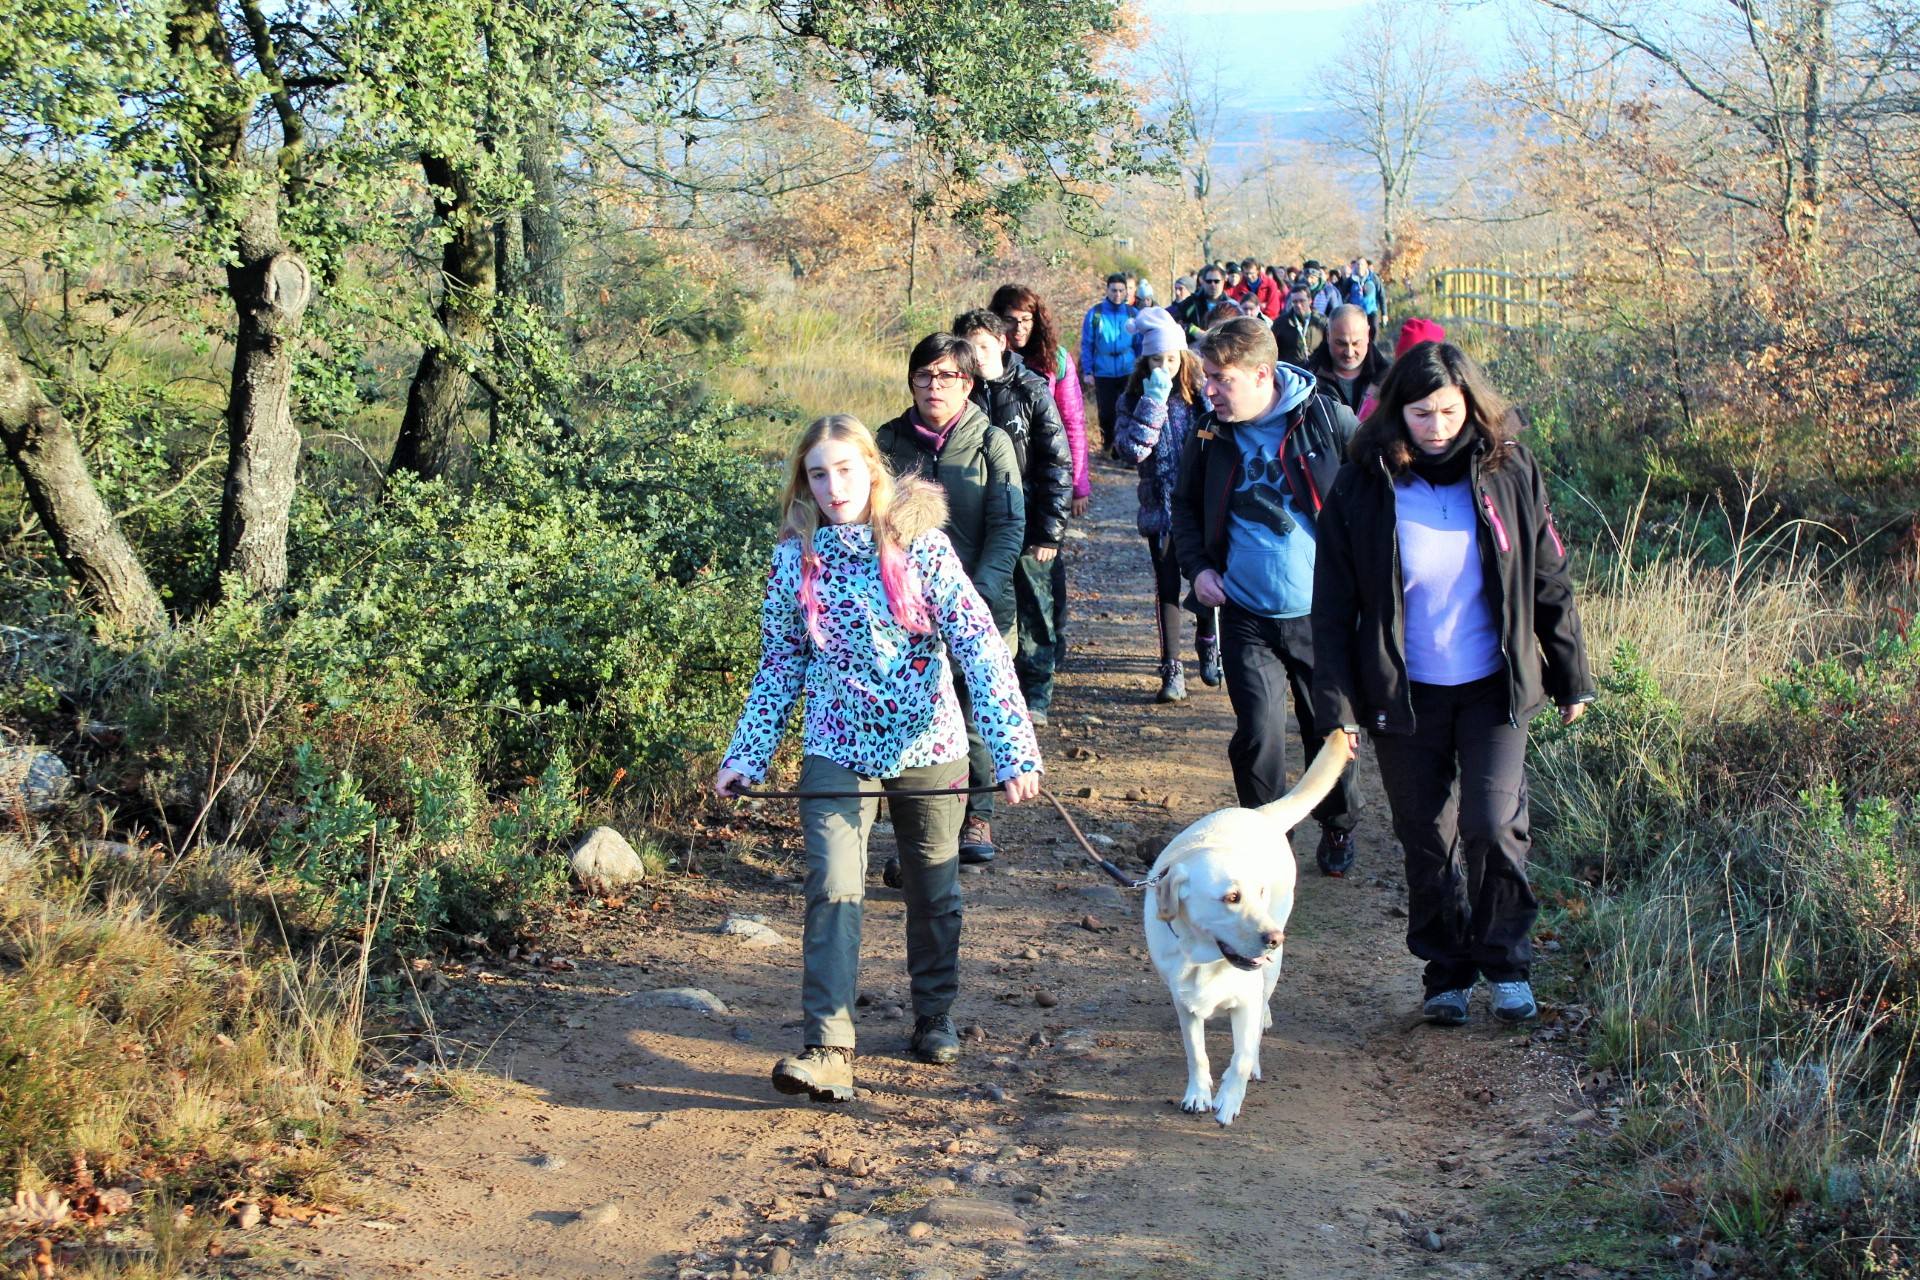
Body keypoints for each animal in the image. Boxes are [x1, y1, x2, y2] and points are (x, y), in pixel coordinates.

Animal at [1144, 736, 1359, 1128]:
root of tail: (1260, 814)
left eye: (1258, 892)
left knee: (1261, 1010)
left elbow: (1242, 1055)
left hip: (1273, 964)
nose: (1274, 939)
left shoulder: (1245, 1000)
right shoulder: (1184, 1003)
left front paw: (1229, 1099)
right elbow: (1196, 1052)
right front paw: (1197, 1094)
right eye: (1231, 897)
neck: (1205, 960)